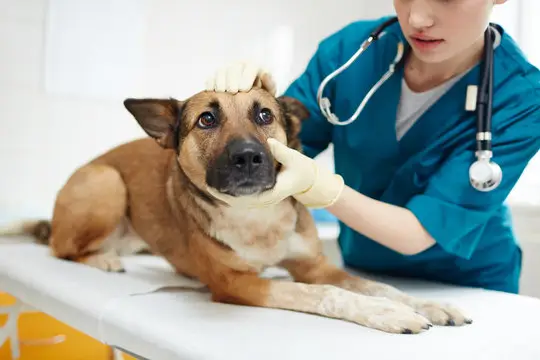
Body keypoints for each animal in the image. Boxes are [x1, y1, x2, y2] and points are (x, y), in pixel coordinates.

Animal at [9, 86, 472, 334]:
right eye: (206, 120)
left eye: (264, 115)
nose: (248, 156)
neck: (255, 215)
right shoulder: (237, 283)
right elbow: (325, 294)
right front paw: (388, 314)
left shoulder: (315, 266)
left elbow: (373, 285)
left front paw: (423, 303)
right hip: (106, 183)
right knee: (61, 248)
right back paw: (101, 259)